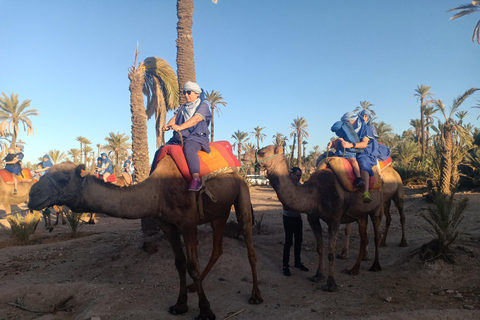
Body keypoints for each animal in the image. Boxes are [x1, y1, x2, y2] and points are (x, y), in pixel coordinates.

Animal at [27, 159, 262, 318]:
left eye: (64, 178)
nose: (31, 195)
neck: (157, 192)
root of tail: (238, 174)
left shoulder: (187, 223)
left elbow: (192, 265)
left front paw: (205, 310)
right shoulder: (167, 225)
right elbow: (180, 264)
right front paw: (180, 305)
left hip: (242, 194)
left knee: (249, 245)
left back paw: (255, 295)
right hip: (218, 213)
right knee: (217, 249)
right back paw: (193, 288)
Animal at [244, 146, 382, 292]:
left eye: (262, 152)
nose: (244, 156)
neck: (315, 193)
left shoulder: (334, 219)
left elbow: (331, 252)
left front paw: (331, 284)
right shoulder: (313, 218)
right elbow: (320, 248)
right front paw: (318, 276)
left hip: (378, 206)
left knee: (376, 234)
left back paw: (375, 266)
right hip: (361, 214)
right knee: (364, 238)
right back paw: (354, 269)